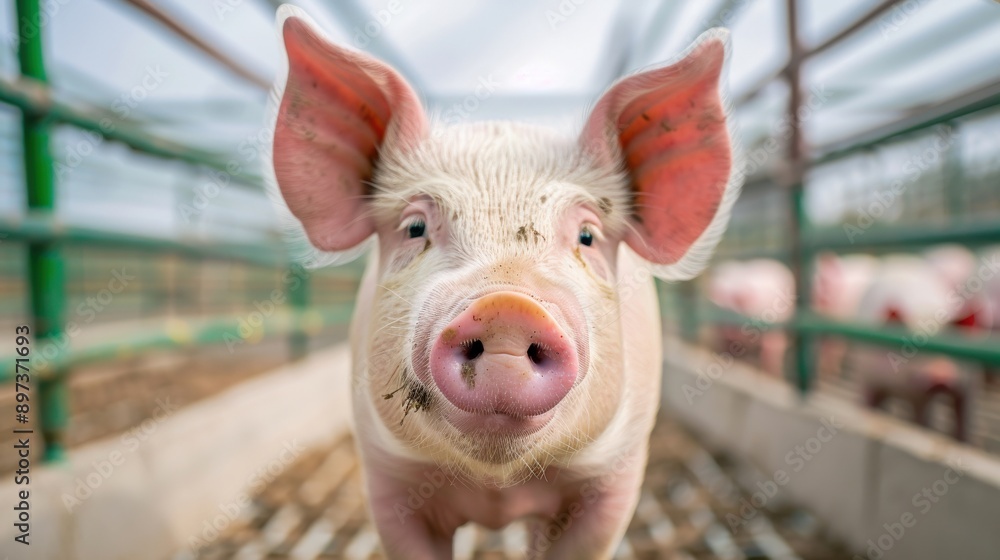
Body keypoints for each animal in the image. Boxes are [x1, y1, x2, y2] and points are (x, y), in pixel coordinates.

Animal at [269, 7, 740, 559]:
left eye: (587, 235)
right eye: (415, 227)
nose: (507, 308)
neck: (496, 487)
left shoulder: (615, 475)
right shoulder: (388, 476)